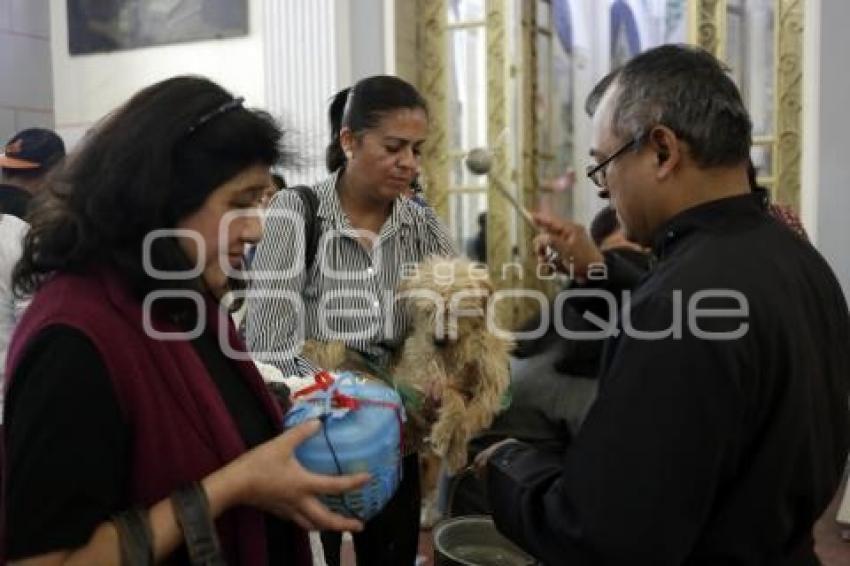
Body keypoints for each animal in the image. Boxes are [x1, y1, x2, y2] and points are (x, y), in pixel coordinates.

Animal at [300, 258, 510, 474]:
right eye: (428, 310)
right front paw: (447, 434)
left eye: (455, 309)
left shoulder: (489, 389)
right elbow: (453, 397)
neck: (456, 351)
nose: (438, 341)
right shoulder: (419, 380)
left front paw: (456, 447)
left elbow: (472, 414)